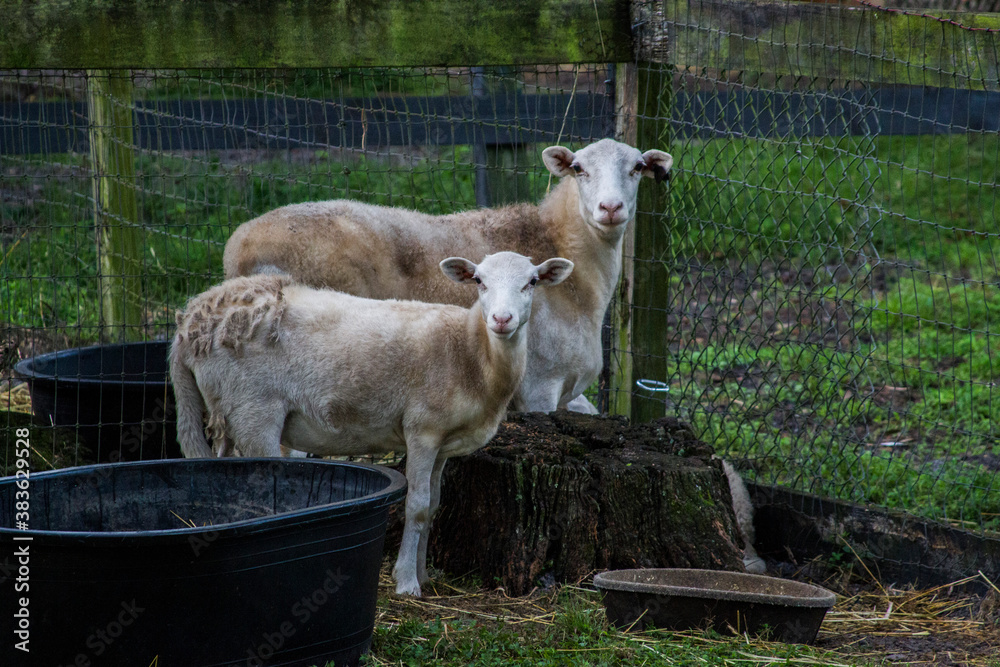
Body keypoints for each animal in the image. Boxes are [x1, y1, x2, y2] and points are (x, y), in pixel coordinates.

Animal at [169, 251, 574, 597]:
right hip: (254, 409)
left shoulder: (444, 443)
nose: (502, 320)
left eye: (532, 282)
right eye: (479, 281)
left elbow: (435, 505)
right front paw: (407, 581)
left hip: (226, 407)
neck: (471, 352)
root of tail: (191, 321)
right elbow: (418, 505)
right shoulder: (422, 429)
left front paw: (424, 574)